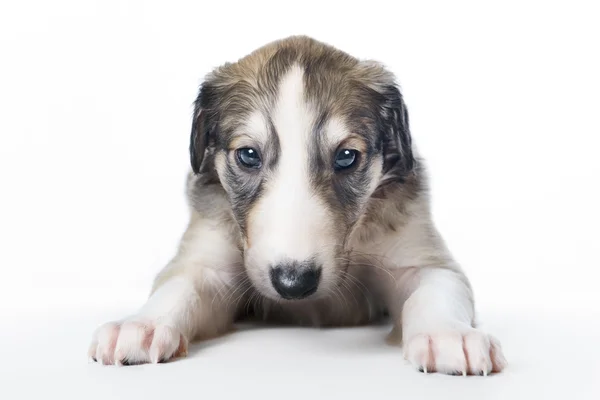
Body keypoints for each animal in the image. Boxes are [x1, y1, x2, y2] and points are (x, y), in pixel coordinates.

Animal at [89, 35, 506, 376]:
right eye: (248, 155)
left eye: (346, 157)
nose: (294, 283)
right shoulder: (207, 255)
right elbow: (180, 286)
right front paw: (143, 325)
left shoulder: (420, 254)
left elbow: (434, 290)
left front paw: (449, 334)